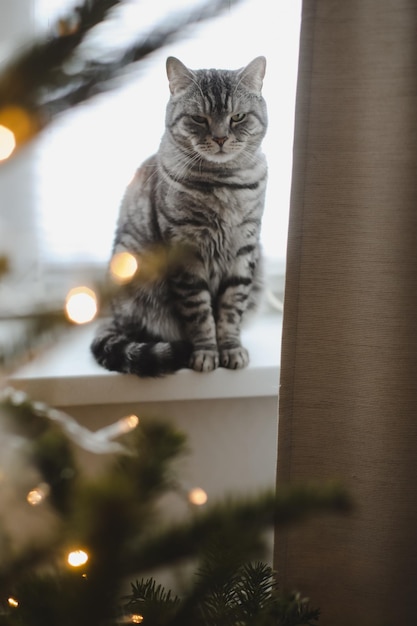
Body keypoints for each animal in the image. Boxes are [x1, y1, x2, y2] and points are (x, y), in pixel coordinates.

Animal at [90, 54, 266, 376]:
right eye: (199, 119)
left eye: (237, 117)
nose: (220, 138)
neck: (222, 183)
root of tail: (113, 315)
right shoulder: (186, 254)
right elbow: (200, 314)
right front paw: (206, 353)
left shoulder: (244, 249)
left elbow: (231, 309)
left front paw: (231, 349)